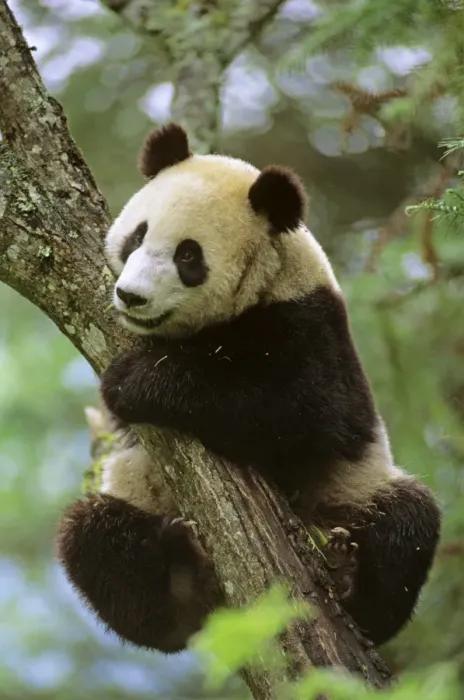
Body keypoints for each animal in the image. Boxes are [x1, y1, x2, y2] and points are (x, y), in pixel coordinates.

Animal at [56, 122, 441, 654]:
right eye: (138, 236)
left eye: (188, 255)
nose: (131, 296)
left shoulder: (310, 326)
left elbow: (299, 412)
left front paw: (136, 381)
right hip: (136, 493)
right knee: (94, 541)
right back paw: (181, 577)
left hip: (353, 489)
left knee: (408, 524)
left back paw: (351, 580)